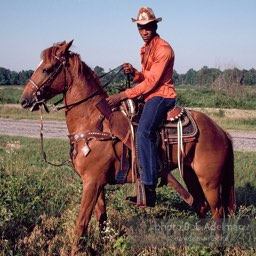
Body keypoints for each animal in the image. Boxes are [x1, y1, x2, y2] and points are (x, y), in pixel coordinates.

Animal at [20, 41, 236, 247]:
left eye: (47, 69)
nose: (24, 100)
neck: (93, 121)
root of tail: (221, 131)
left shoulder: (91, 182)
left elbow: (81, 224)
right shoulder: (97, 183)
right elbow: (102, 218)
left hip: (210, 181)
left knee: (217, 211)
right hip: (191, 175)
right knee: (201, 207)